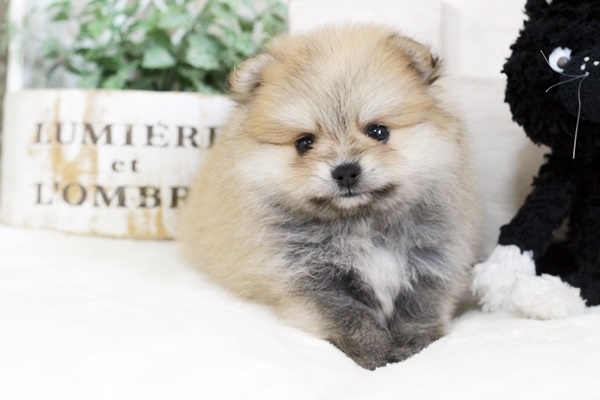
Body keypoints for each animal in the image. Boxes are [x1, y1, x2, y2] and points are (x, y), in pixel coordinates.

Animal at [178, 25, 479, 370]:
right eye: (304, 143)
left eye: (378, 132)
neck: (362, 222)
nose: (346, 171)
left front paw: (414, 345)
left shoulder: (432, 262)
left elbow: (418, 310)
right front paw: (375, 353)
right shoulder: (309, 277)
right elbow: (350, 316)